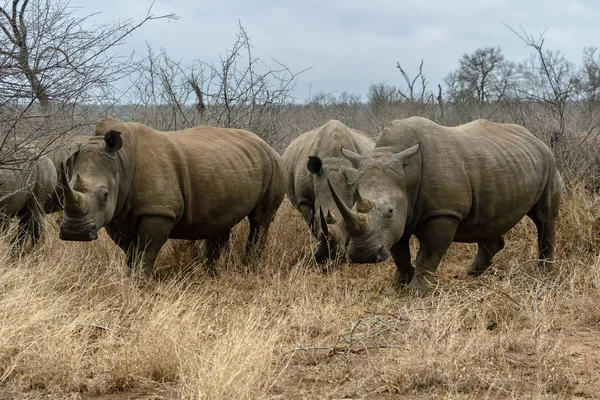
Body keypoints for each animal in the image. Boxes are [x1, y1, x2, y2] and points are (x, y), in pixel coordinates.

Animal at [59, 117, 288, 276]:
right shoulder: (117, 215)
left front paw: (141, 283)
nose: (74, 233)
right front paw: (129, 279)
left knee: (260, 220)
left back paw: (248, 269)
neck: (122, 163)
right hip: (232, 166)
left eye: (105, 195)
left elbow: (146, 252)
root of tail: (264, 143)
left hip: (274, 163)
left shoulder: (159, 211)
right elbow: (130, 253)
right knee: (223, 220)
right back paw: (211, 274)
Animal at [330, 115, 564, 294]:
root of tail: (534, 138)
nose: (363, 256)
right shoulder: (400, 218)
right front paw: (398, 284)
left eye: (389, 210)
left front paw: (417, 291)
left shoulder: (443, 213)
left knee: (544, 217)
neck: (406, 173)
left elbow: (429, 253)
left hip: (549, 162)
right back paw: (472, 272)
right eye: (352, 207)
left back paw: (544, 273)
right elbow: (399, 252)